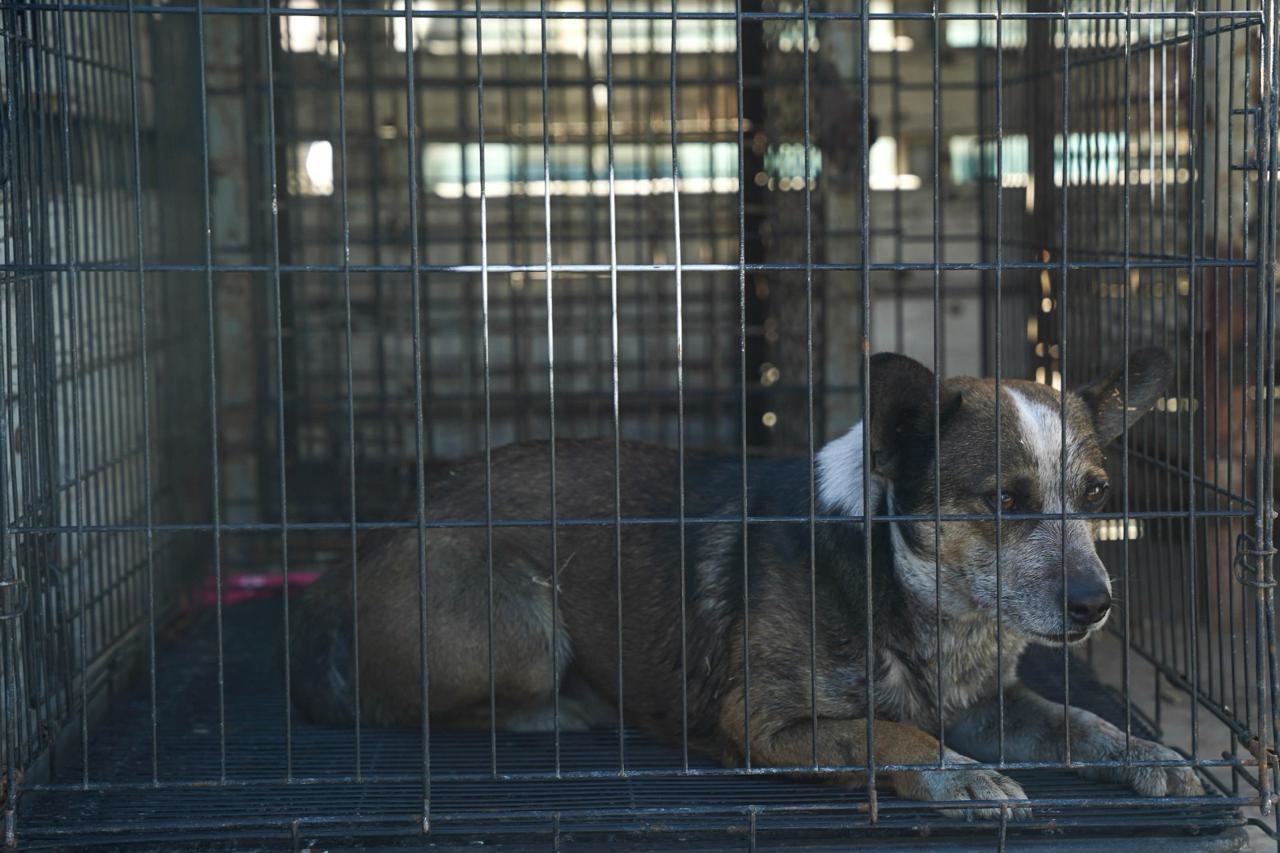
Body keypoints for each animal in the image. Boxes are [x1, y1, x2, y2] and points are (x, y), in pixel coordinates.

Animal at [290, 348, 1198, 819]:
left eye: (1096, 495)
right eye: (1004, 500)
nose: (1095, 604)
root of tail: (369, 544)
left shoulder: (988, 704)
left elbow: (1083, 721)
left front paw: (1151, 752)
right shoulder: (761, 721)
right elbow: (887, 732)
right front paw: (957, 773)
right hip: (523, 622)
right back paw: (564, 708)